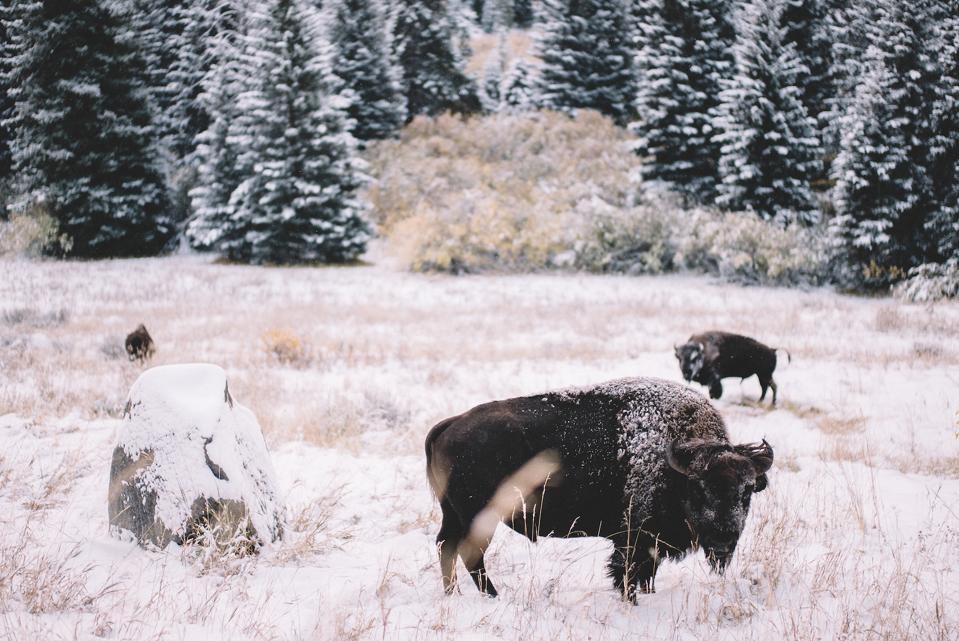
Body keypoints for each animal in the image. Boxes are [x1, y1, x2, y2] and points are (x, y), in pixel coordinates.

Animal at [425, 377, 773, 601]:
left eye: (746, 491)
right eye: (700, 488)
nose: (724, 539)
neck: (674, 465)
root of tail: (450, 425)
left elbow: (648, 576)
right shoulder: (634, 541)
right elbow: (628, 574)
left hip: (455, 515)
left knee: (447, 547)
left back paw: (454, 595)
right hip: (480, 517)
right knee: (469, 555)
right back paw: (494, 597)